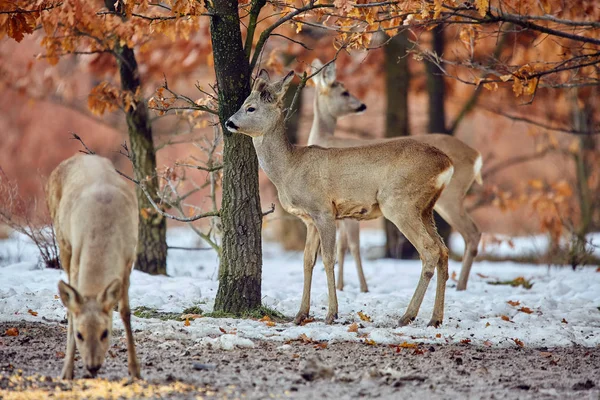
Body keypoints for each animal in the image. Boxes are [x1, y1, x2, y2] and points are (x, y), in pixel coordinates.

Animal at [47, 155, 141, 380]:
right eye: (80, 335)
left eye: (105, 332)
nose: (92, 366)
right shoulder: (76, 256)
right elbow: (73, 313)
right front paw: (66, 371)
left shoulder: (128, 259)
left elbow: (125, 311)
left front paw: (135, 370)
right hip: (62, 239)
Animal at [226, 71, 454, 328]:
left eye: (250, 107)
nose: (228, 122)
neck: (289, 168)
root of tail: (447, 164)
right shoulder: (309, 219)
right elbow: (307, 260)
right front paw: (300, 314)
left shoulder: (324, 210)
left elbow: (328, 259)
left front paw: (331, 314)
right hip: (425, 208)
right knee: (443, 250)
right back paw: (435, 318)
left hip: (399, 202)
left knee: (430, 250)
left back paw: (408, 316)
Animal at [310, 58, 482, 290]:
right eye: (344, 92)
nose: (362, 105)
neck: (326, 138)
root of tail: (476, 155)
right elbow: (343, 244)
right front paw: (342, 286)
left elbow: (352, 244)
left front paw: (360, 287)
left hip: (451, 196)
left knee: (471, 233)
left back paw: (461, 285)